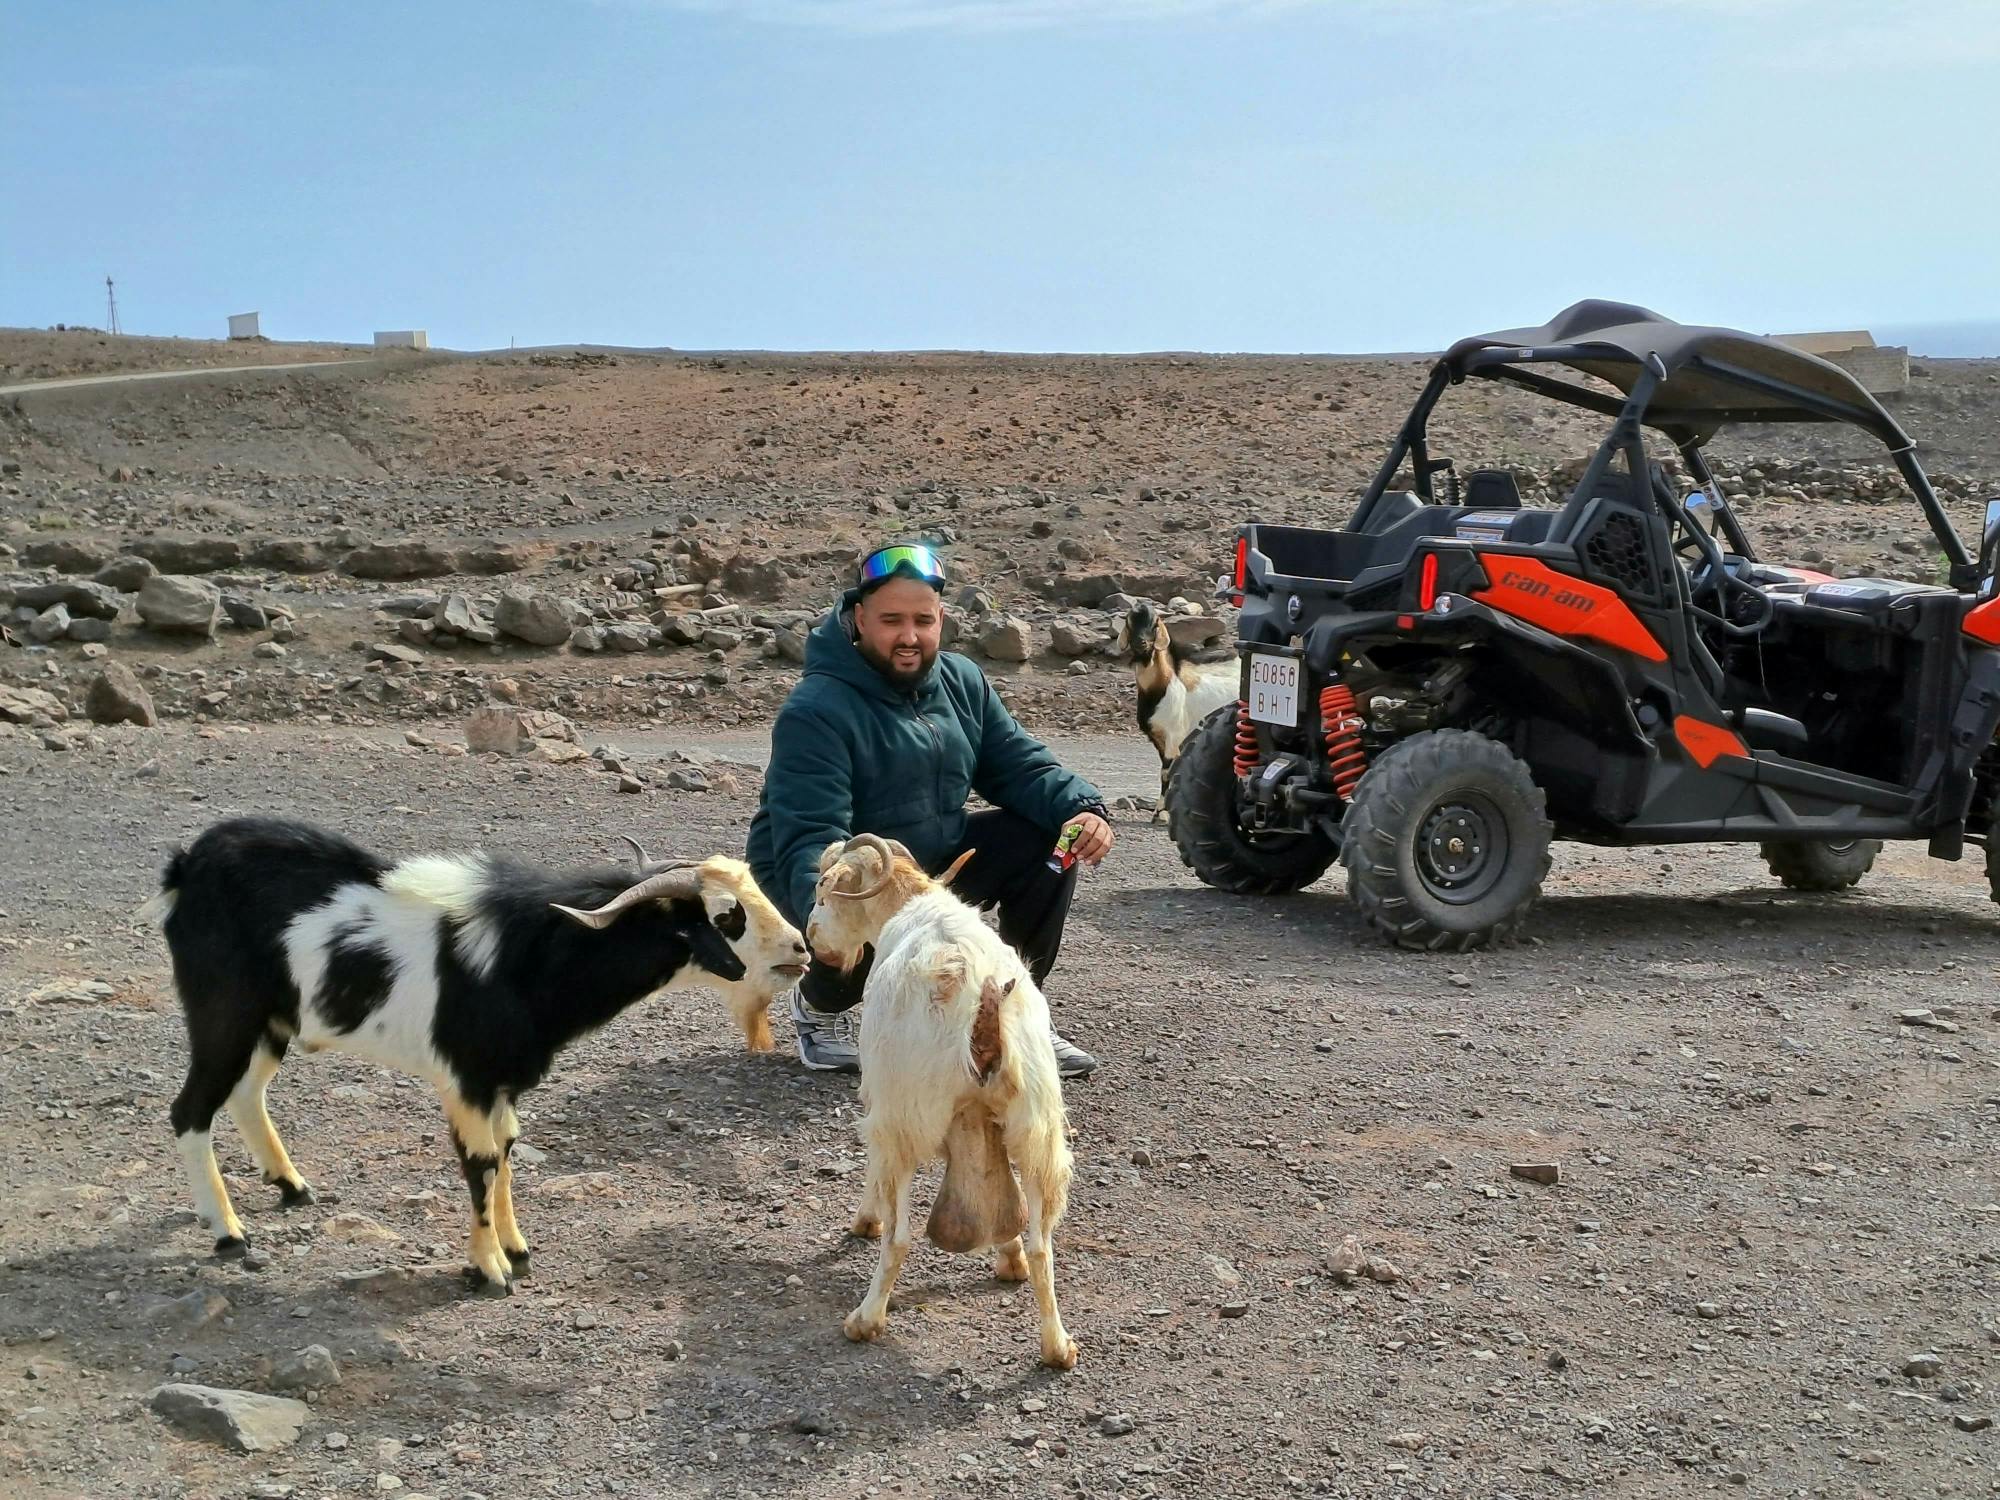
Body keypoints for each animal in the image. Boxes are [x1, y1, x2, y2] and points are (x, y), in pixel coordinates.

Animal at [145, 824, 808, 1296]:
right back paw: (228, 1233)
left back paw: (290, 1186)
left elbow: (508, 1149)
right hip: (223, 1013)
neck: (523, 958)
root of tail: (187, 866)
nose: (799, 951)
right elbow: (482, 1163)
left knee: (244, 1093)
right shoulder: (464, 1078)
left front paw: (517, 1249)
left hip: (273, 1023)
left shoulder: (502, 1082)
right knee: (191, 1109)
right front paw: (488, 1269)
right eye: (727, 916)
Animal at [804, 836, 1080, 1376]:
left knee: (899, 1236)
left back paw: (865, 1320)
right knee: (1043, 1246)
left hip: (904, 1119)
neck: (914, 904)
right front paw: (1008, 1258)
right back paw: (1057, 1347)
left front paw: (863, 1221)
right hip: (1038, 1130)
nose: (812, 938)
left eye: (825, 890)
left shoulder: (879, 1095)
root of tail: (983, 1010)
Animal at [1120, 604, 1240, 828]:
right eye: (1129, 622)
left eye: (1155, 623)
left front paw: (1161, 814)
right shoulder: (1158, 738)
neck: (1161, 688)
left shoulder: (1174, 735)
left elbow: (1167, 772)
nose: (1141, 643)